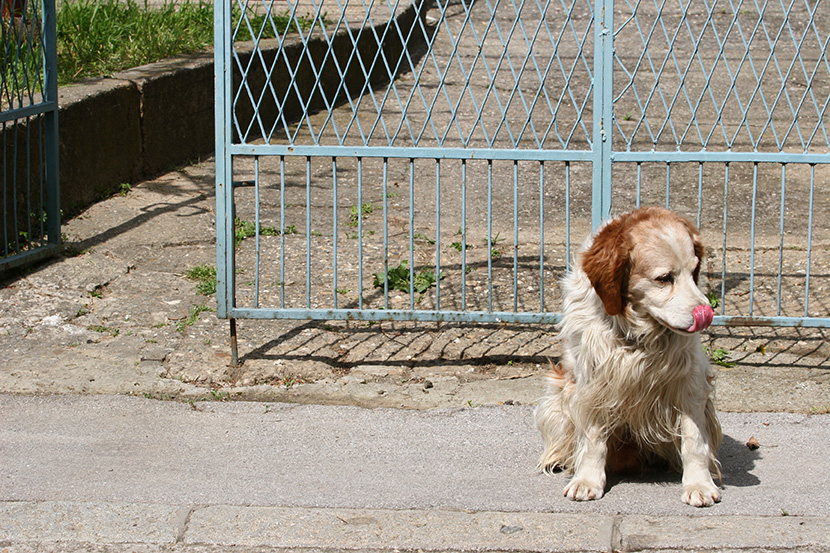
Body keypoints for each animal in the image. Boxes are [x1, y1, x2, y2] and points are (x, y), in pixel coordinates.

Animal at [536, 206, 724, 504]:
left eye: (695, 270)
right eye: (664, 278)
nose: (706, 314)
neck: (634, 330)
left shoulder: (690, 383)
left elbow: (694, 441)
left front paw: (699, 485)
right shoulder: (592, 381)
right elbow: (592, 440)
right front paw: (587, 480)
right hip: (557, 395)